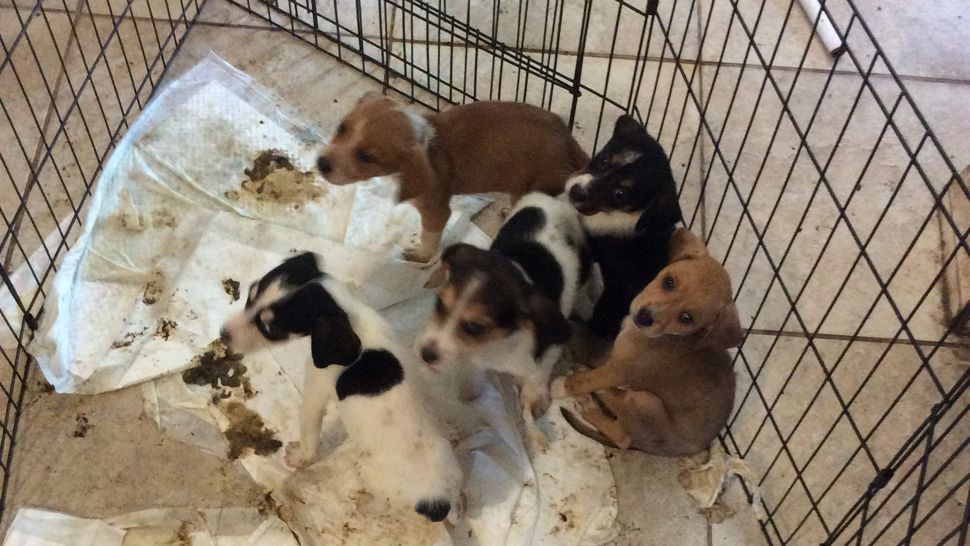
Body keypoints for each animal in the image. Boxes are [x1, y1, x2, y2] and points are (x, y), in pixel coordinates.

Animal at [219, 253, 462, 520]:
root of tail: (439, 502)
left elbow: (309, 433)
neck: (348, 313)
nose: (223, 335)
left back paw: (366, 505)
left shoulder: (315, 391)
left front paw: (301, 457)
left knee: (384, 504)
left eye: (270, 329)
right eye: (250, 295)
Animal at [318, 93, 588, 262]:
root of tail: (568, 140)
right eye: (342, 127)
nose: (321, 164)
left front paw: (421, 255)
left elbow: (429, 236)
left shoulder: (436, 210)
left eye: (367, 157)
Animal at [414, 191, 588, 446]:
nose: (425, 355)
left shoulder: (548, 350)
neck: (497, 344)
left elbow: (536, 379)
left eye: (475, 327)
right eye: (440, 304)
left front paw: (535, 401)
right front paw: (468, 391)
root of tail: (549, 199)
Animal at [548, 227, 736, 456]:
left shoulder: (620, 369)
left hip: (645, 402)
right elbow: (598, 364)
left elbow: (586, 380)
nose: (644, 317)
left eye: (687, 318)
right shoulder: (617, 358)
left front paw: (560, 386)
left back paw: (591, 408)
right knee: (619, 402)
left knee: (622, 436)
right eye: (669, 282)